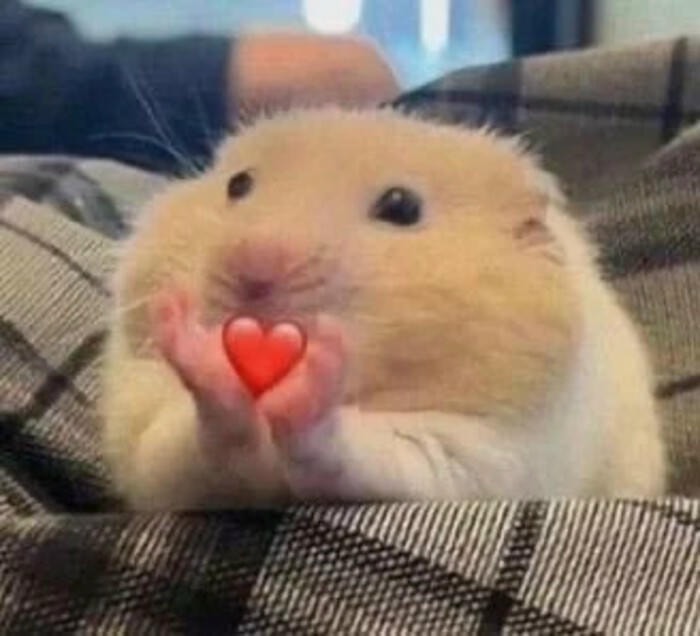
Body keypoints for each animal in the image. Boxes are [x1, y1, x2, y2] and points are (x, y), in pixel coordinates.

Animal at [100, 107, 666, 511]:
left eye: (400, 207)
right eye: (237, 184)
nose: (251, 265)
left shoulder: (483, 456)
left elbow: (360, 449)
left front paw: (318, 370)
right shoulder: (158, 452)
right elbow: (201, 442)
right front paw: (194, 343)